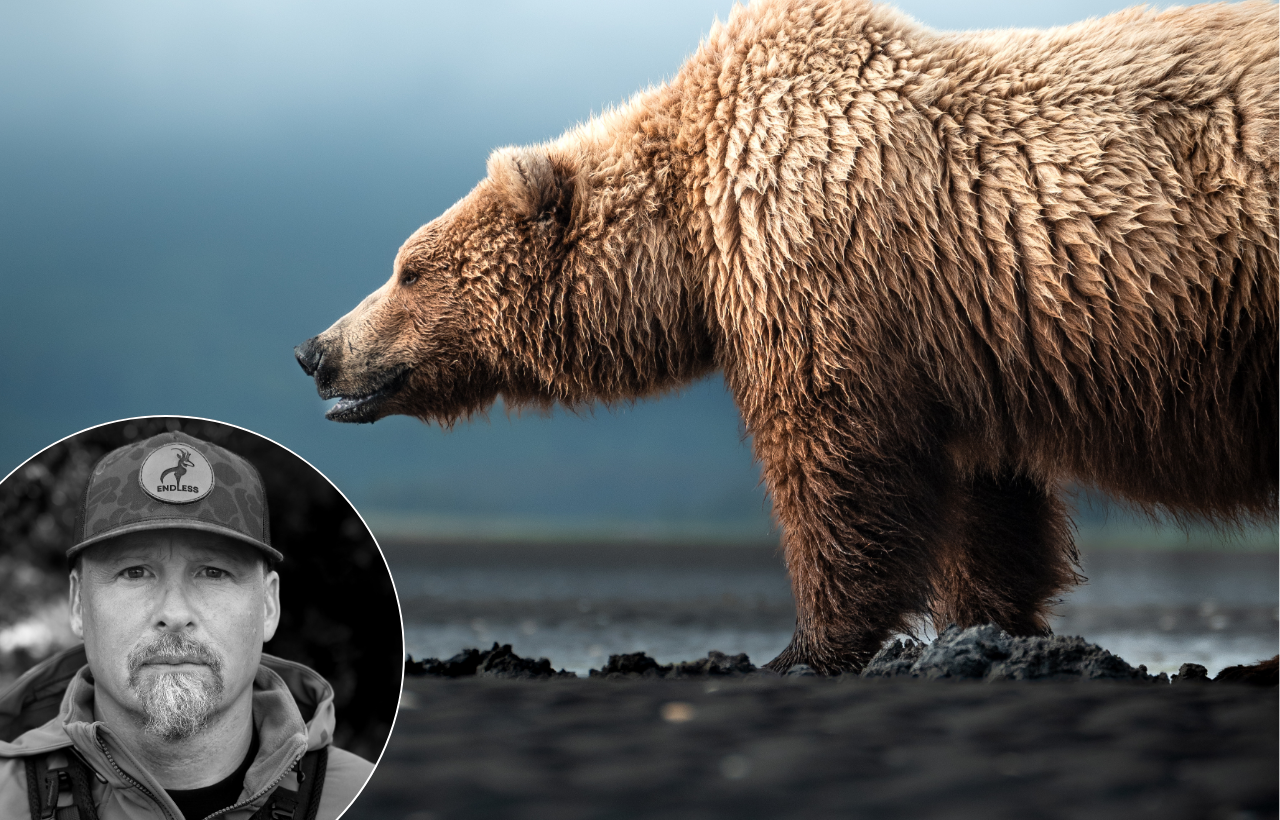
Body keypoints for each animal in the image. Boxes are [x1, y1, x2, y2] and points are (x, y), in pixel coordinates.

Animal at [296, 0, 1279, 673]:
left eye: (407, 267)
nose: (316, 351)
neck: (690, 235)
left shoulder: (822, 260)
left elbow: (835, 458)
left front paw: (805, 647)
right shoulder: (962, 343)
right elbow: (989, 497)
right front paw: (985, 625)